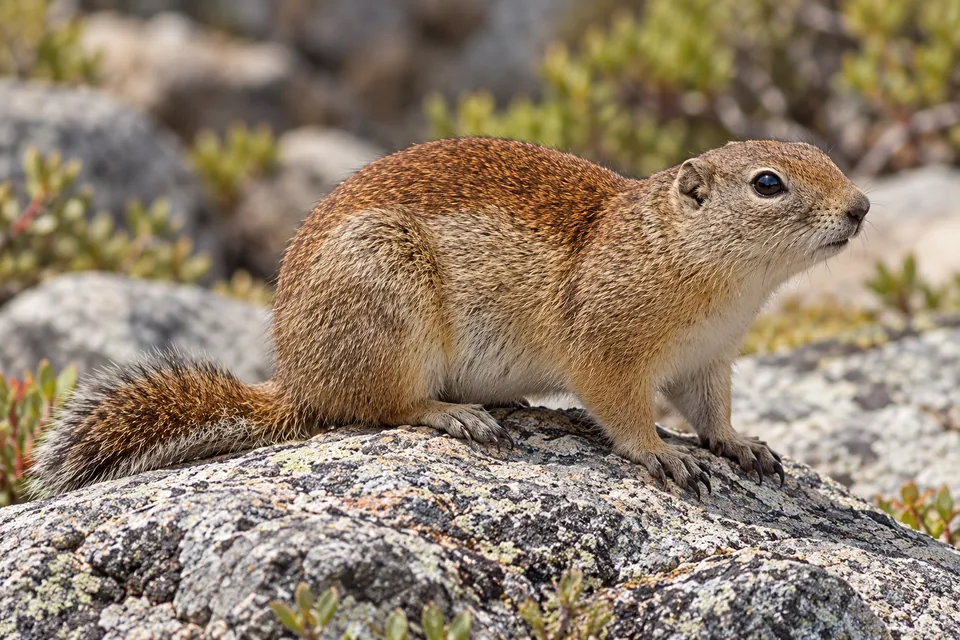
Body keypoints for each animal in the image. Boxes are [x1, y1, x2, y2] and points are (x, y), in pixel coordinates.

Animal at [29, 137, 869, 499]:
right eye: (768, 183)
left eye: (821, 151)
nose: (862, 206)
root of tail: (295, 382)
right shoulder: (609, 350)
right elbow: (624, 410)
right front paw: (664, 456)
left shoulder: (709, 359)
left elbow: (713, 411)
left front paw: (741, 446)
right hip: (386, 307)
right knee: (382, 407)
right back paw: (454, 415)